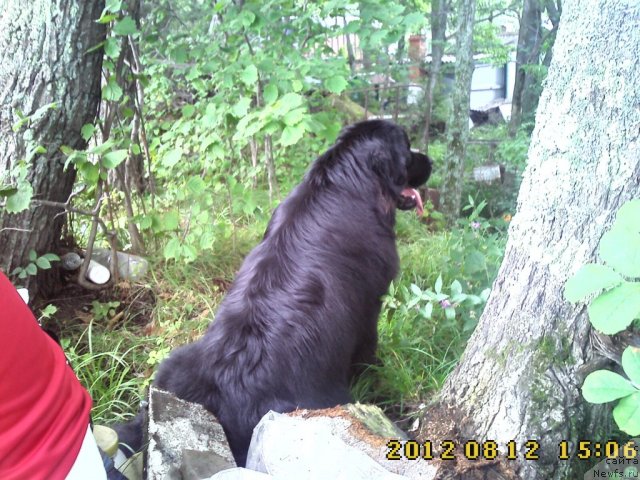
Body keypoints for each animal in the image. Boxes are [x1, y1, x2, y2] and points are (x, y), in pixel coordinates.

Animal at [117, 119, 432, 464]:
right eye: (408, 148)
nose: (430, 162)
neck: (348, 181)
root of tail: (218, 389)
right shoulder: (370, 308)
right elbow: (367, 349)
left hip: (170, 366)